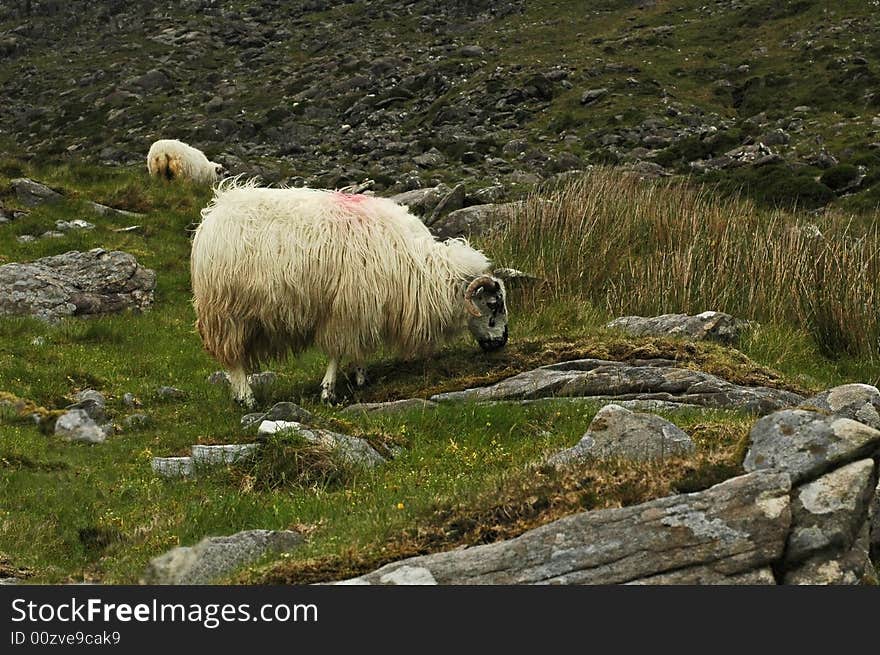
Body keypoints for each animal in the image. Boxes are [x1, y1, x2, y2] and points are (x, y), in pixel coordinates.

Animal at [192, 178, 508, 404]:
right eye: (493, 304)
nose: (502, 342)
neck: (416, 267)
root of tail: (216, 211)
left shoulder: (364, 307)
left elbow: (358, 347)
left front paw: (360, 377)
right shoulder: (345, 307)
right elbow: (337, 351)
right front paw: (328, 391)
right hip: (226, 312)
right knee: (233, 359)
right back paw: (246, 398)